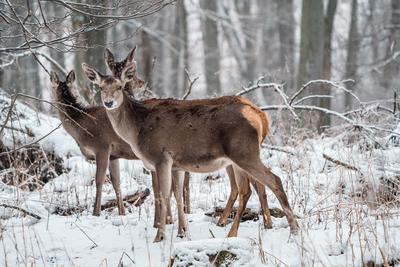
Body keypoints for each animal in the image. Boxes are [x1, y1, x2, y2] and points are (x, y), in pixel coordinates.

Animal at [83, 48, 298, 243]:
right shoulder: (176, 164)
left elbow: (163, 195)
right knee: (246, 190)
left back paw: (293, 230)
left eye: (120, 86)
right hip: (239, 157)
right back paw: (233, 233)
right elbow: (177, 194)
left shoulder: (161, 157)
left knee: (273, 180)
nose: (109, 103)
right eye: (101, 87)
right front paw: (183, 232)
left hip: (245, 152)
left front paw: (159, 236)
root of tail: (260, 117)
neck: (137, 130)